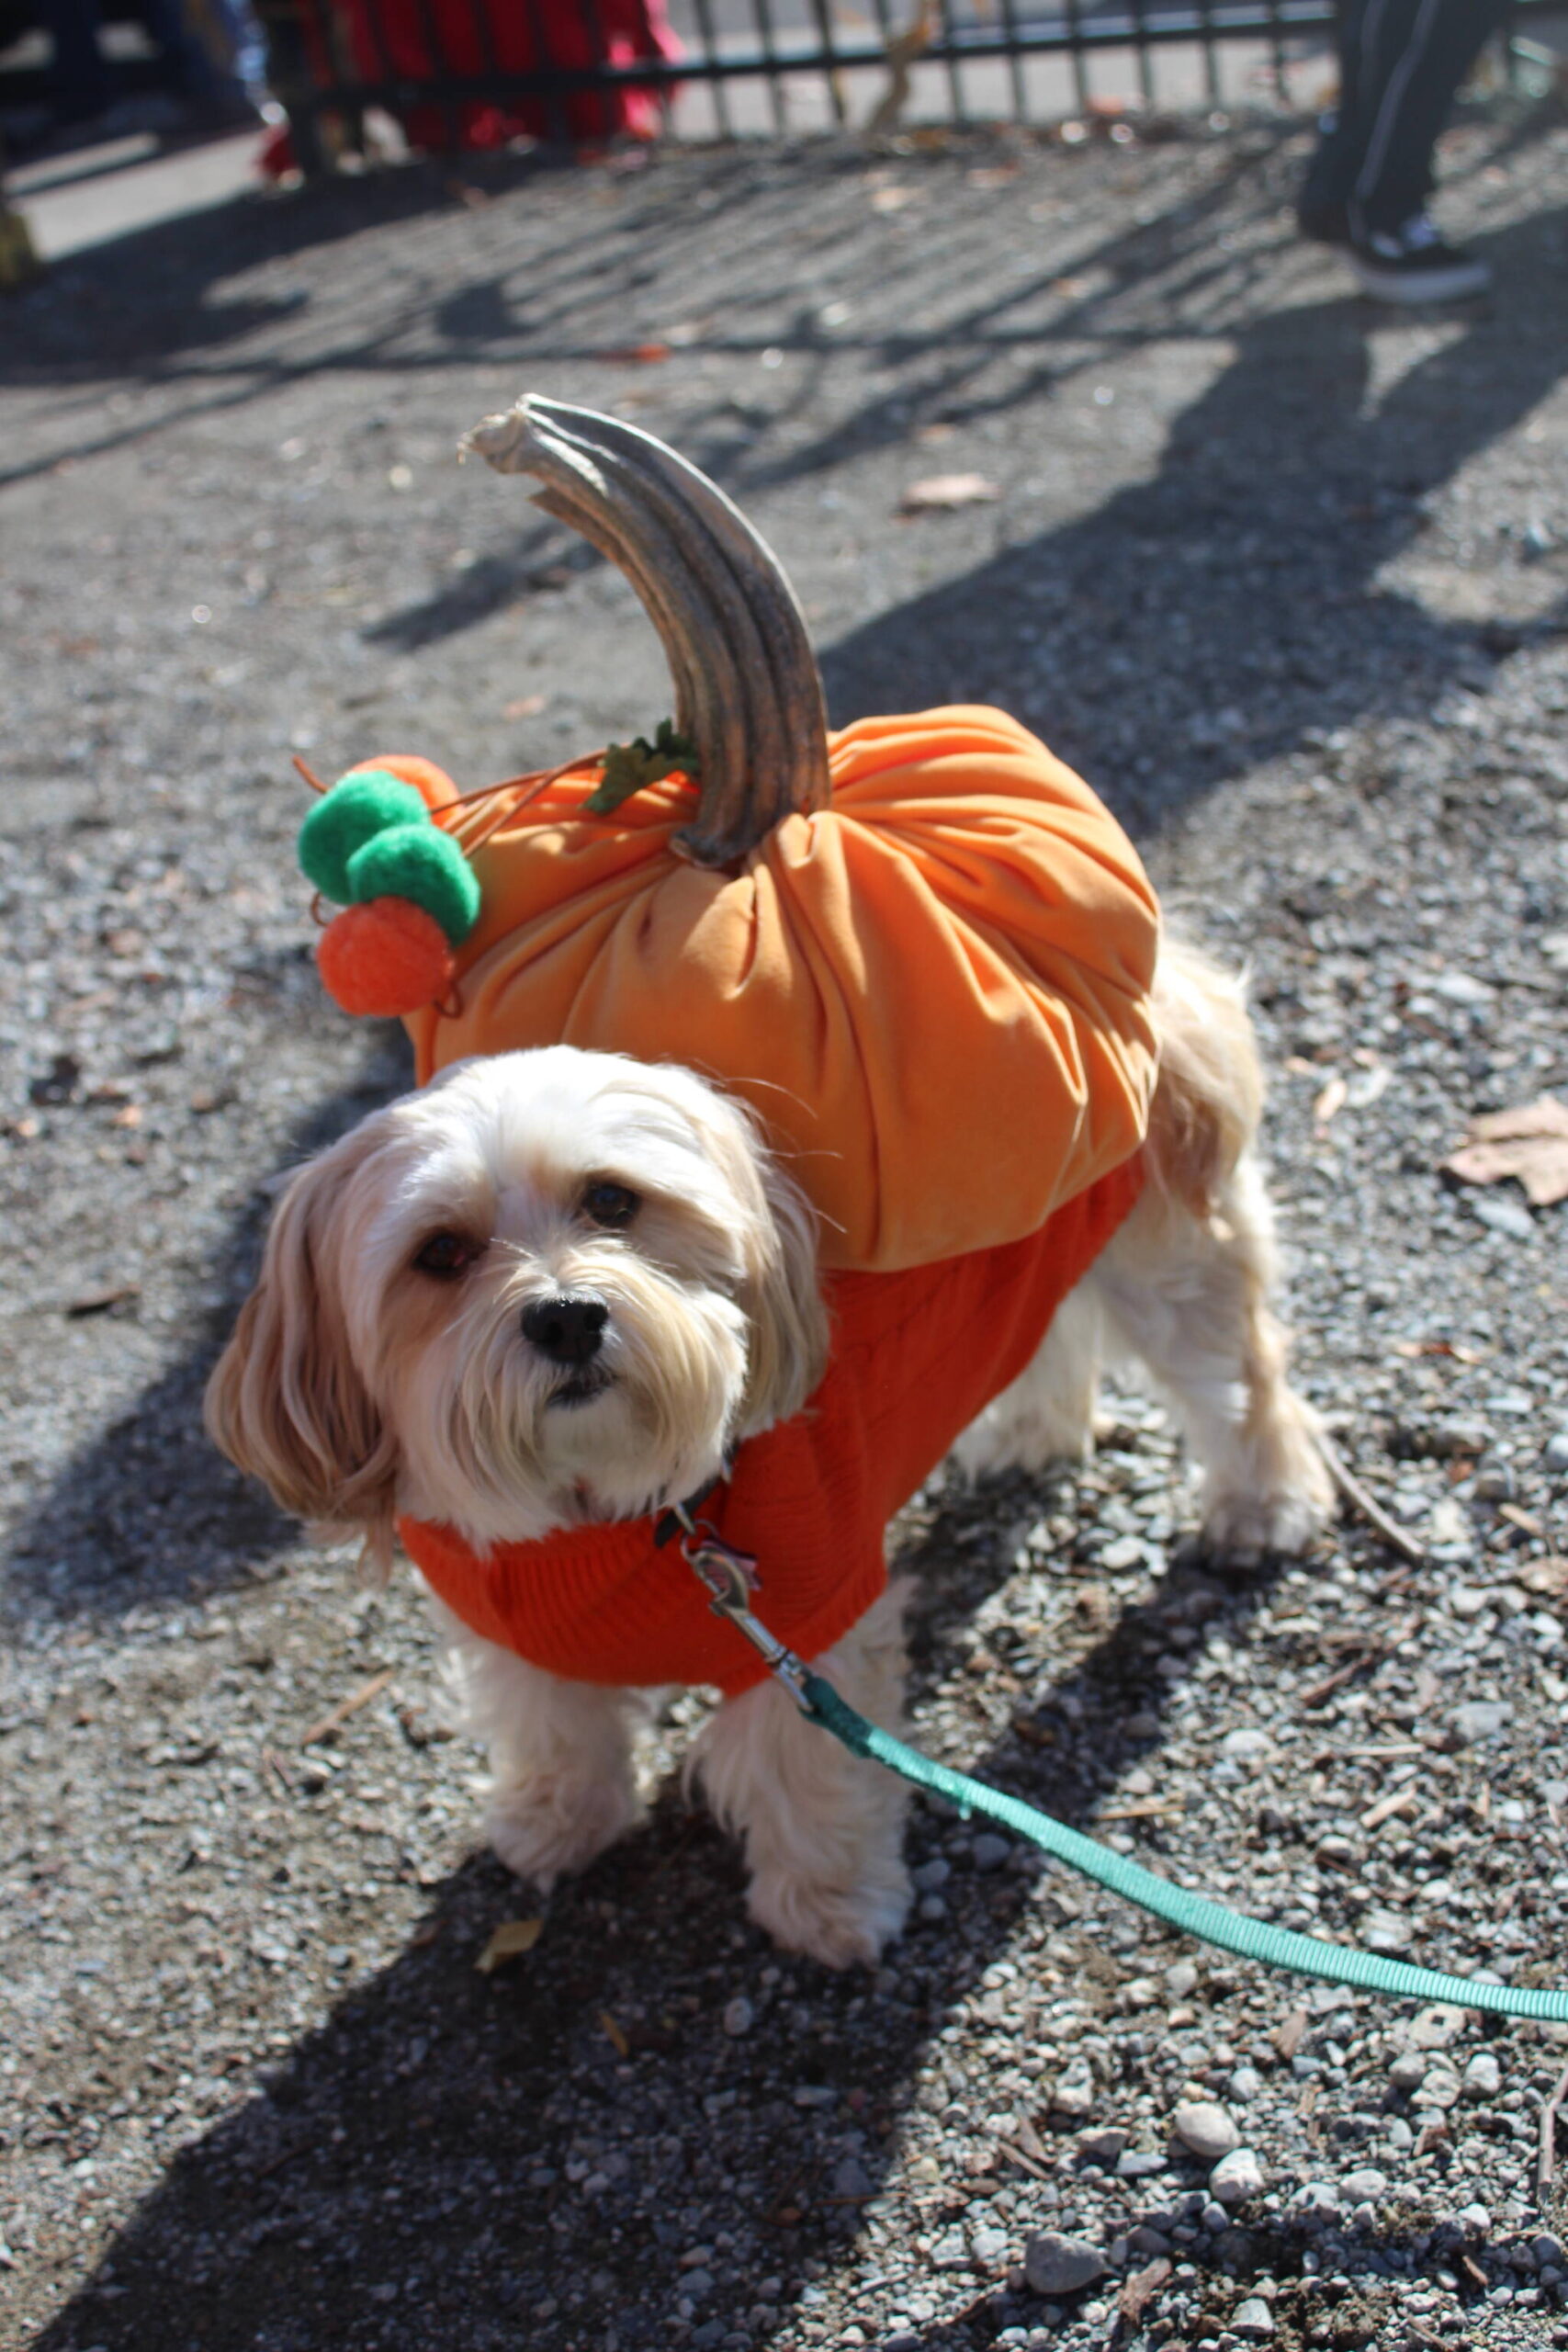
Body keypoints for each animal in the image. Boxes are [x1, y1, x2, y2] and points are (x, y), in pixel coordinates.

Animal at [205, 935, 1335, 1966]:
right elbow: (553, 1726)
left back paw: (1263, 1508)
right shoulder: (512, 1628)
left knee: (1241, 1381)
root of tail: (1161, 970)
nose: (567, 1316)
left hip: (1169, 1260)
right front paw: (556, 1822)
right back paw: (1030, 1438)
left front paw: (831, 1911)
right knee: (1049, 1336)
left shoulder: (807, 1632)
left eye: (611, 1199)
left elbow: (808, 1775)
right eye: (440, 1253)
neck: (613, 1516)